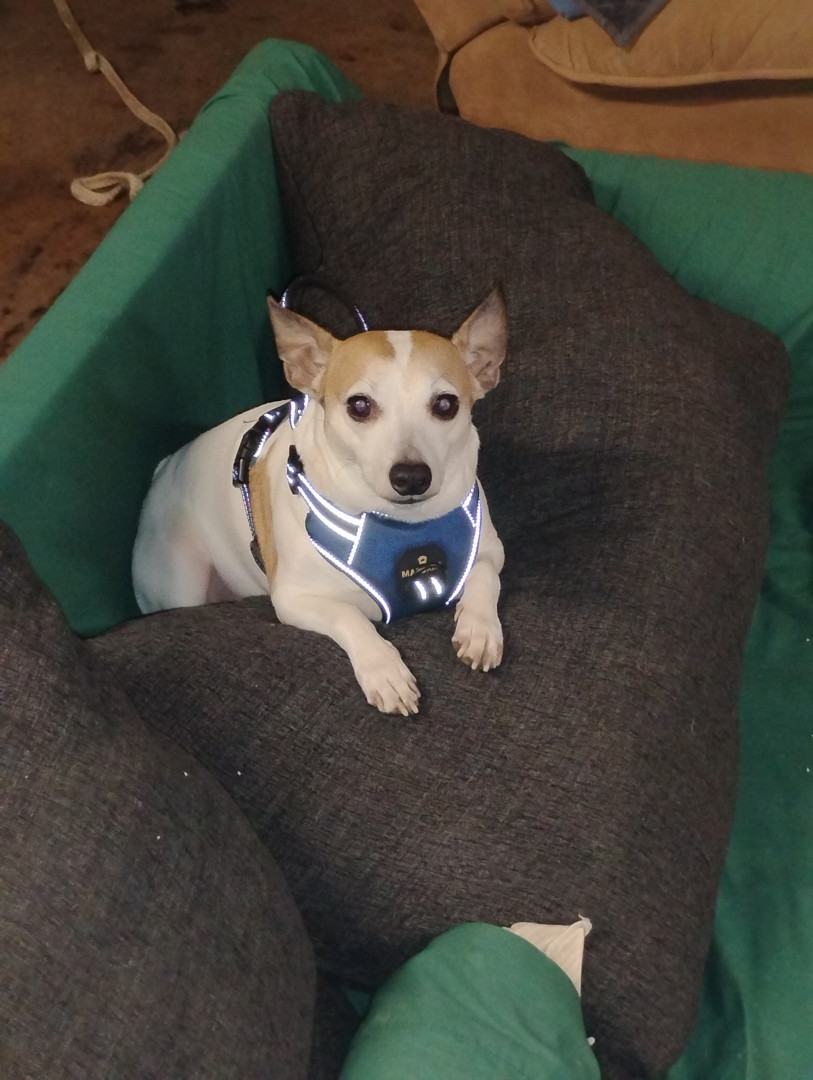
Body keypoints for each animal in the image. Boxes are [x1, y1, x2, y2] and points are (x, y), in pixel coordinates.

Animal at [132, 289, 508, 715]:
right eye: (359, 406)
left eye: (446, 405)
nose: (411, 475)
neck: (401, 525)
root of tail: (164, 467)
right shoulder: (294, 599)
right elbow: (349, 616)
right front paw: (384, 670)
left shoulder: (489, 549)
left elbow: (485, 576)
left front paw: (479, 628)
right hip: (182, 580)